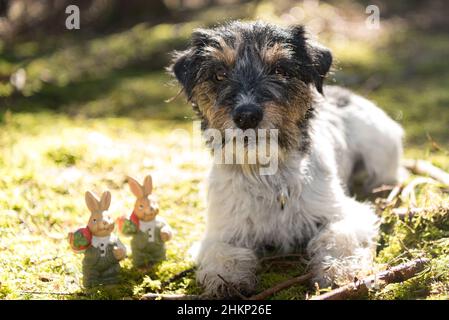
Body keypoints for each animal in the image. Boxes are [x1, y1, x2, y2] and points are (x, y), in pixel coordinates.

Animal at [168, 21, 402, 298]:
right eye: (219, 74)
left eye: (280, 69)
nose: (247, 116)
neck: (266, 173)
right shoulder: (220, 231)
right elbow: (221, 251)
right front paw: (227, 279)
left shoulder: (346, 213)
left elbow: (338, 237)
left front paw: (339, 272)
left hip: (381, 152)